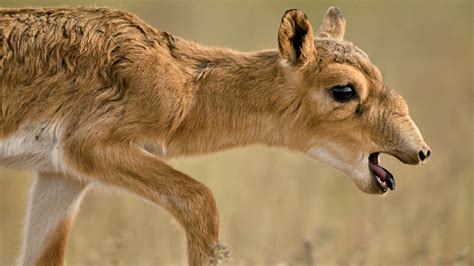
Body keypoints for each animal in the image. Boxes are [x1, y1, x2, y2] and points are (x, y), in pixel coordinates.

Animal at [0, 5, 430, 264]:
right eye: (344, 90)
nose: (421, 151)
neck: (183, 86)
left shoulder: (62, 175)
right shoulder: (87, 147)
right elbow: (201, 200)